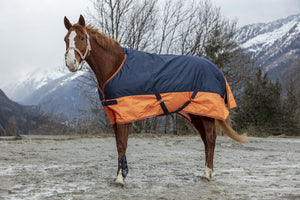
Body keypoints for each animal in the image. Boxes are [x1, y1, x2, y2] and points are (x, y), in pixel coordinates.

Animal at [63, 14, 248, 187]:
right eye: (66, 39)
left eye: (82, 38)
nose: (71, 63)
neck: (116, 67)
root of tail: (217, 70)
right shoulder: (114, 116)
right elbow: (118, 146)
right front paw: (120, 175)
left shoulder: (124, 115)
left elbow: (122, 145)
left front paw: (120, 179)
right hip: (196, 114)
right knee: (206, 140)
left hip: (206, 114)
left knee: (210, 139)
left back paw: (206, 175)